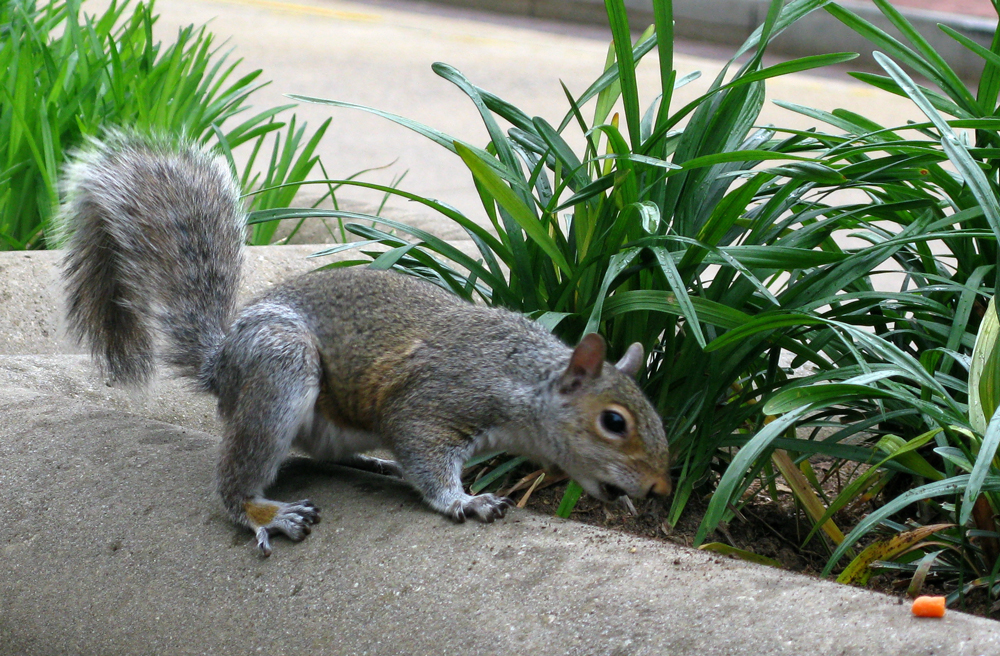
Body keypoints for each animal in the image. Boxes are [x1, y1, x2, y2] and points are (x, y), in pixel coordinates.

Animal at [57, 134, 672, 556]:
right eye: (613, 422)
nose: (660, 488)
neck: (519, 377)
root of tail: (222, 364)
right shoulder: (432, 407)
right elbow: (425, 456)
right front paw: (467, 501)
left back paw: (374, 464)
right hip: (279, 368)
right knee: (235, 481)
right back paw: (265, 513)